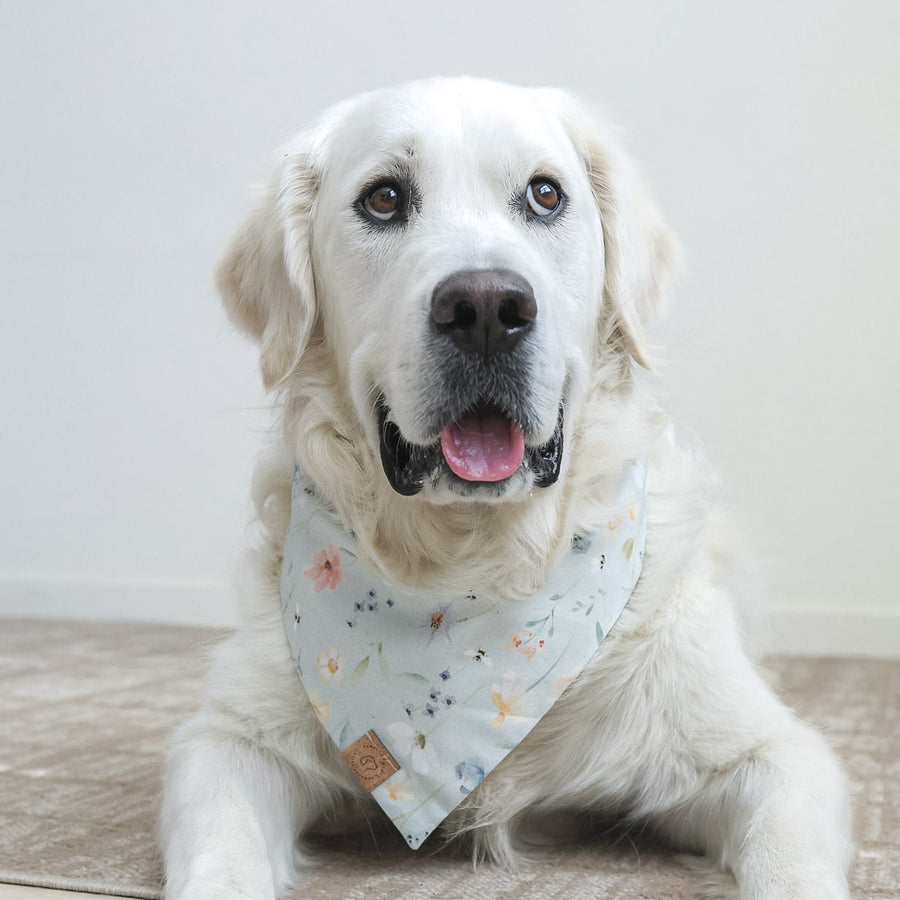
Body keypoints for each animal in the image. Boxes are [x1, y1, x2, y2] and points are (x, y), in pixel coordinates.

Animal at [160, 79, 852, 900]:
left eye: (545, 194)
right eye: (384, 198)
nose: (486, 308)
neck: (476, 575)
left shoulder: (767, 751)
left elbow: (788, 850)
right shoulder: (232, 740)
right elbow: (222, 843)